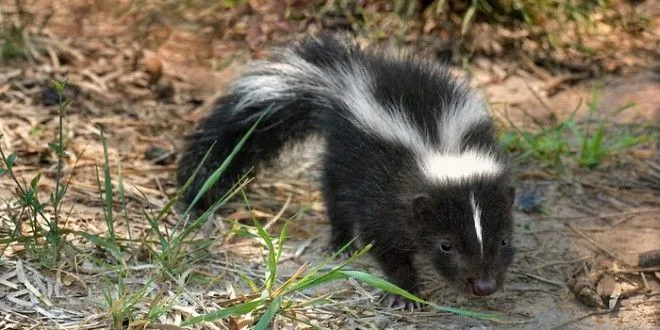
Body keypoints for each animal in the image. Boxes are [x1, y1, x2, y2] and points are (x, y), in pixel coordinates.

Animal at [178, 33, 520, 310]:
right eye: (445, 245)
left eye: (504, 240)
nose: (484, 286)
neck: (438, 146)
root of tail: (343, 76)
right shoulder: (382, 186)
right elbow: (381, 239)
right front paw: (404, 292)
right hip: (344, 152)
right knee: (335, 194)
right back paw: (341, 243)